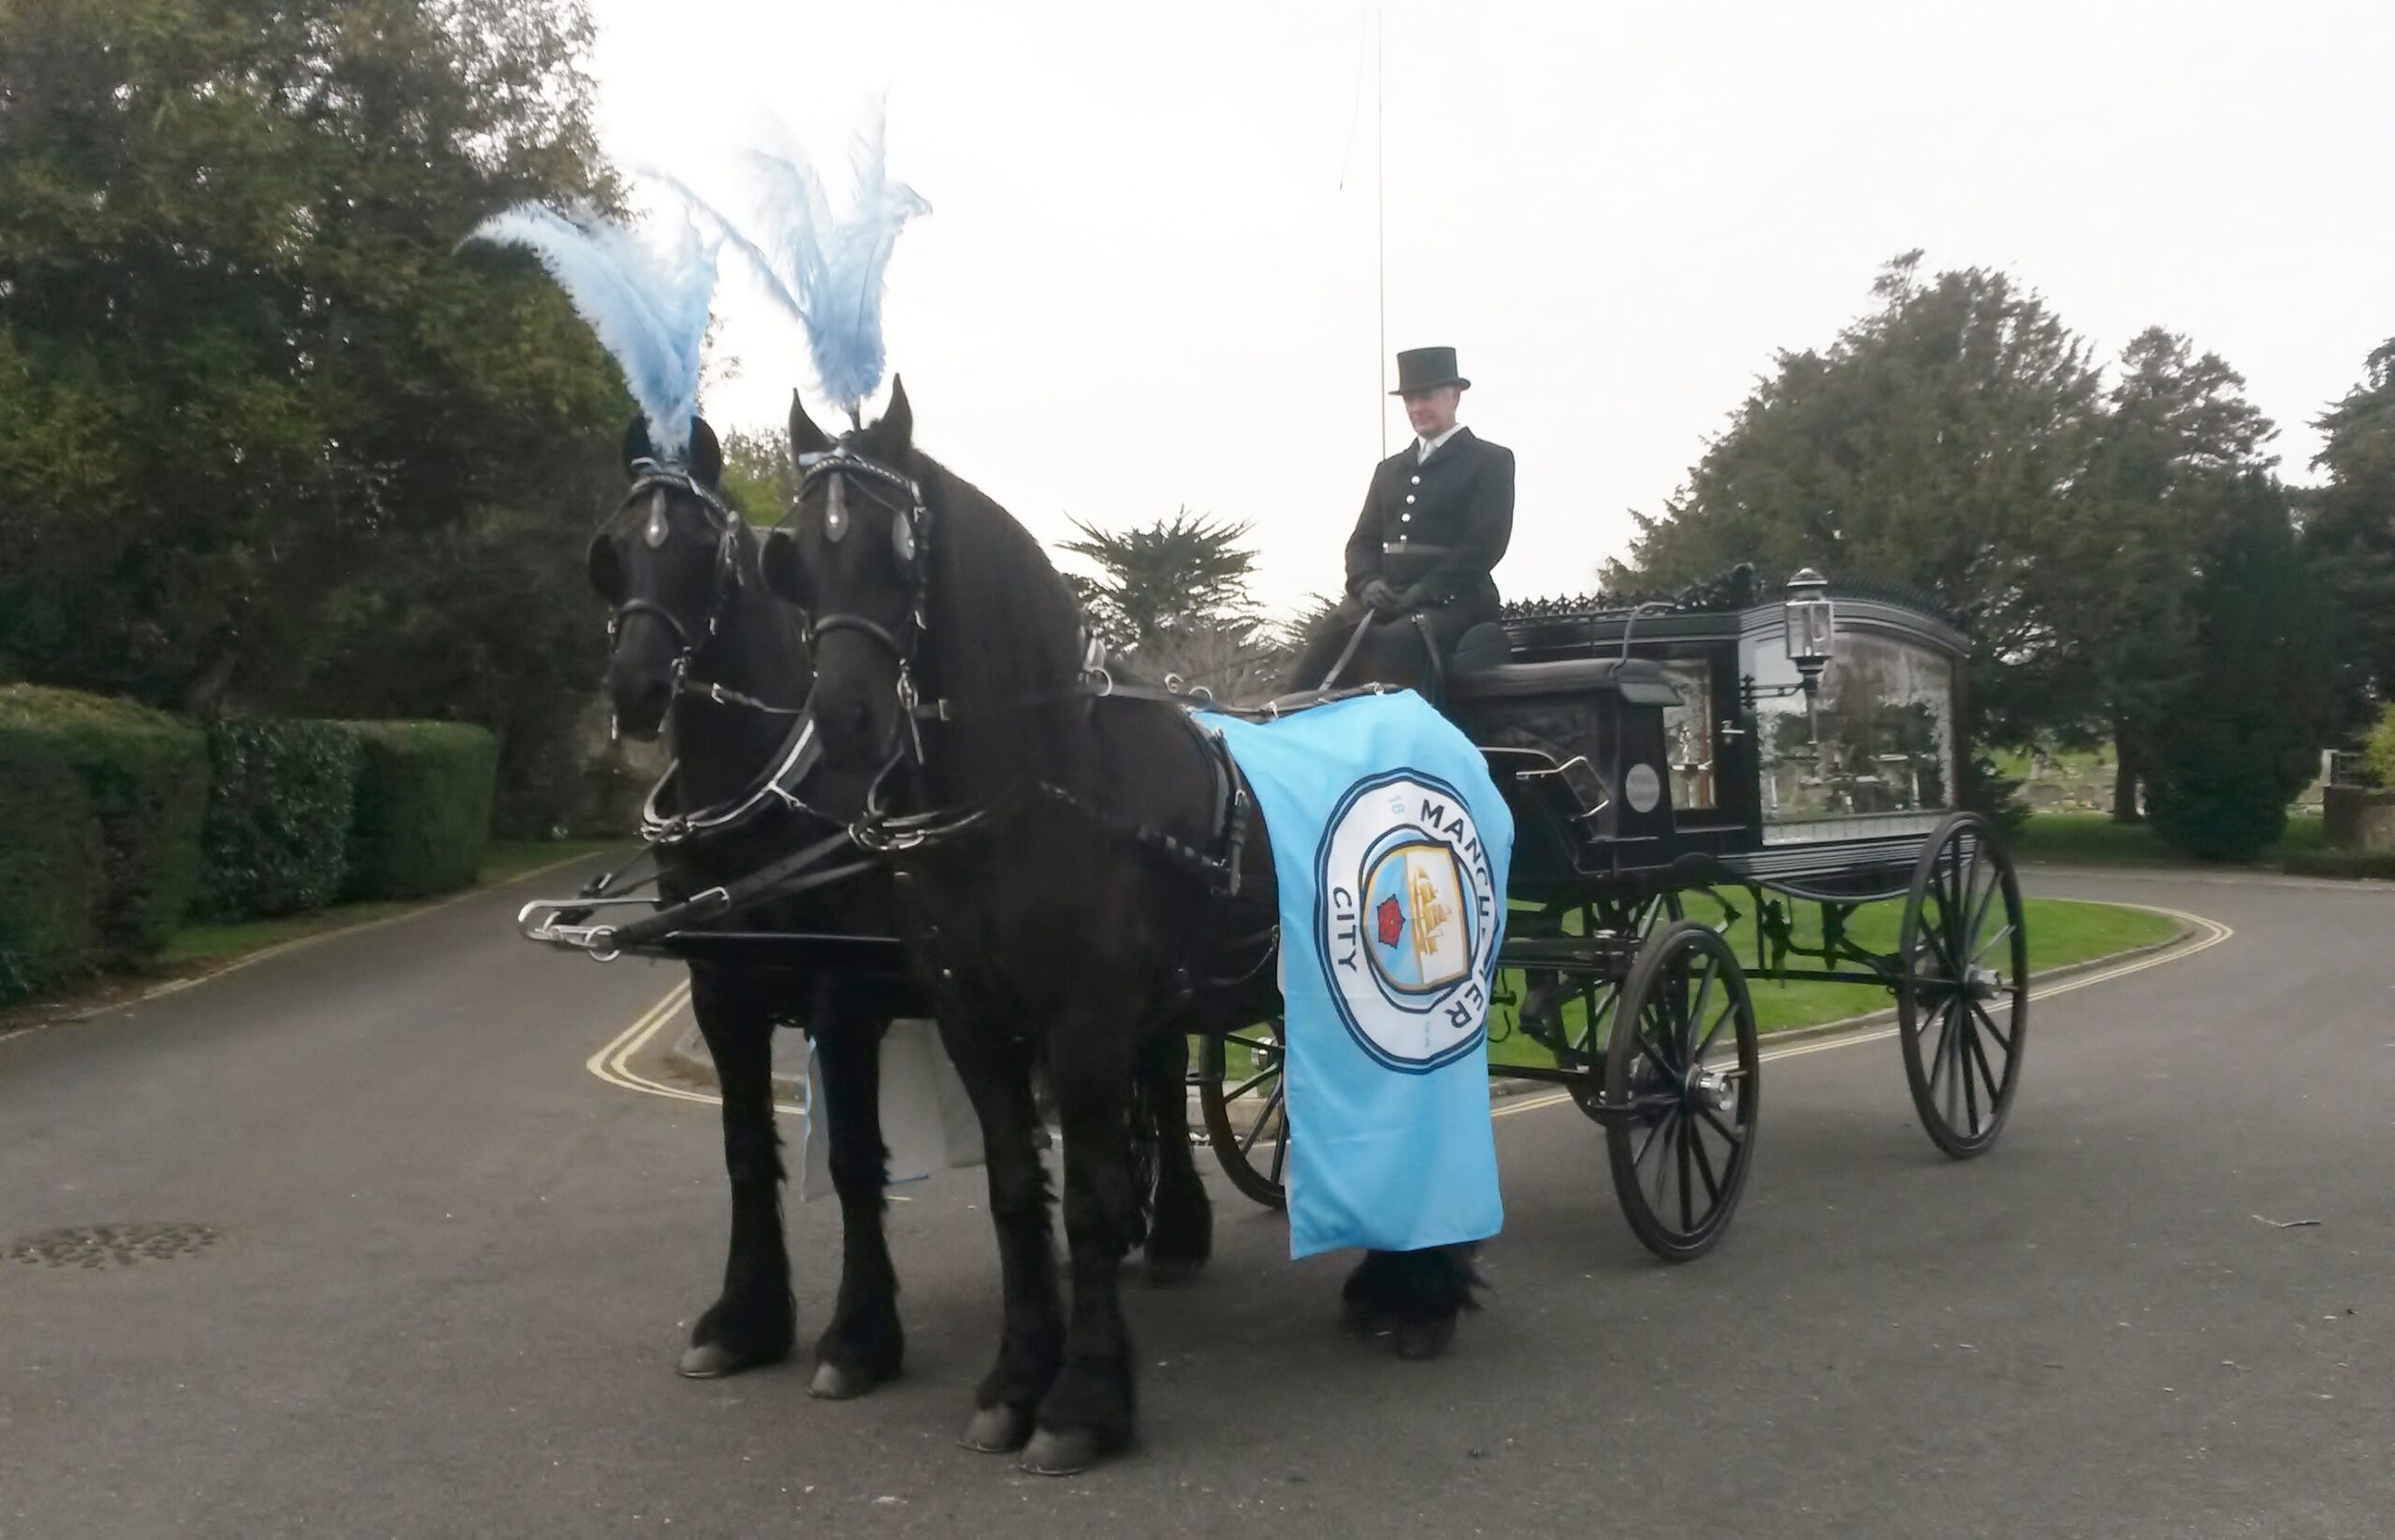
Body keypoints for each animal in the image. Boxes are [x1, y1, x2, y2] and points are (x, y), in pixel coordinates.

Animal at [579, 416, 914, 1408]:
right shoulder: (719, 991)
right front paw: (744, 1319)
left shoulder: (845, 994)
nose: (639, 686)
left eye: (703, 547)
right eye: (612, 549)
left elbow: (851, 1156)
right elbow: (739, 1149)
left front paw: (860, 1337)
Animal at [766, 378, 1474, 1475]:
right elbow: (1018, 1196)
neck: (1041, 784)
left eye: (899, 546)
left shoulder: (1088, 1023)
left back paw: (1426, 1292)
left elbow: (1095, 1201)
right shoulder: (977, 1023)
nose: (843, 719)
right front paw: (1016, 1379)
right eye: (795, 552)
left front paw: (1083, 1401)